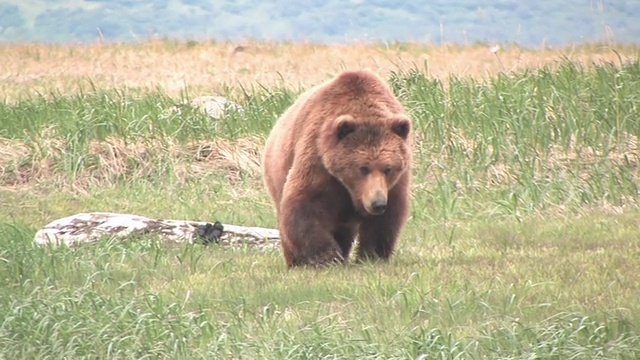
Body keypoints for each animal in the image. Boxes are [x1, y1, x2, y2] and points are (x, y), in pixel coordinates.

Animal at [262, 69, 412, 268]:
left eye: (388, 168)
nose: (377, 203)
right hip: (279, 171)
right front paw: (328, 257)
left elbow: (386, 218)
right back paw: (296, 261)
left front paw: (372, 255)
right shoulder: (318, 159)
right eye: (363, 168)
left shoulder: (395, 183)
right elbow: (305, 203)